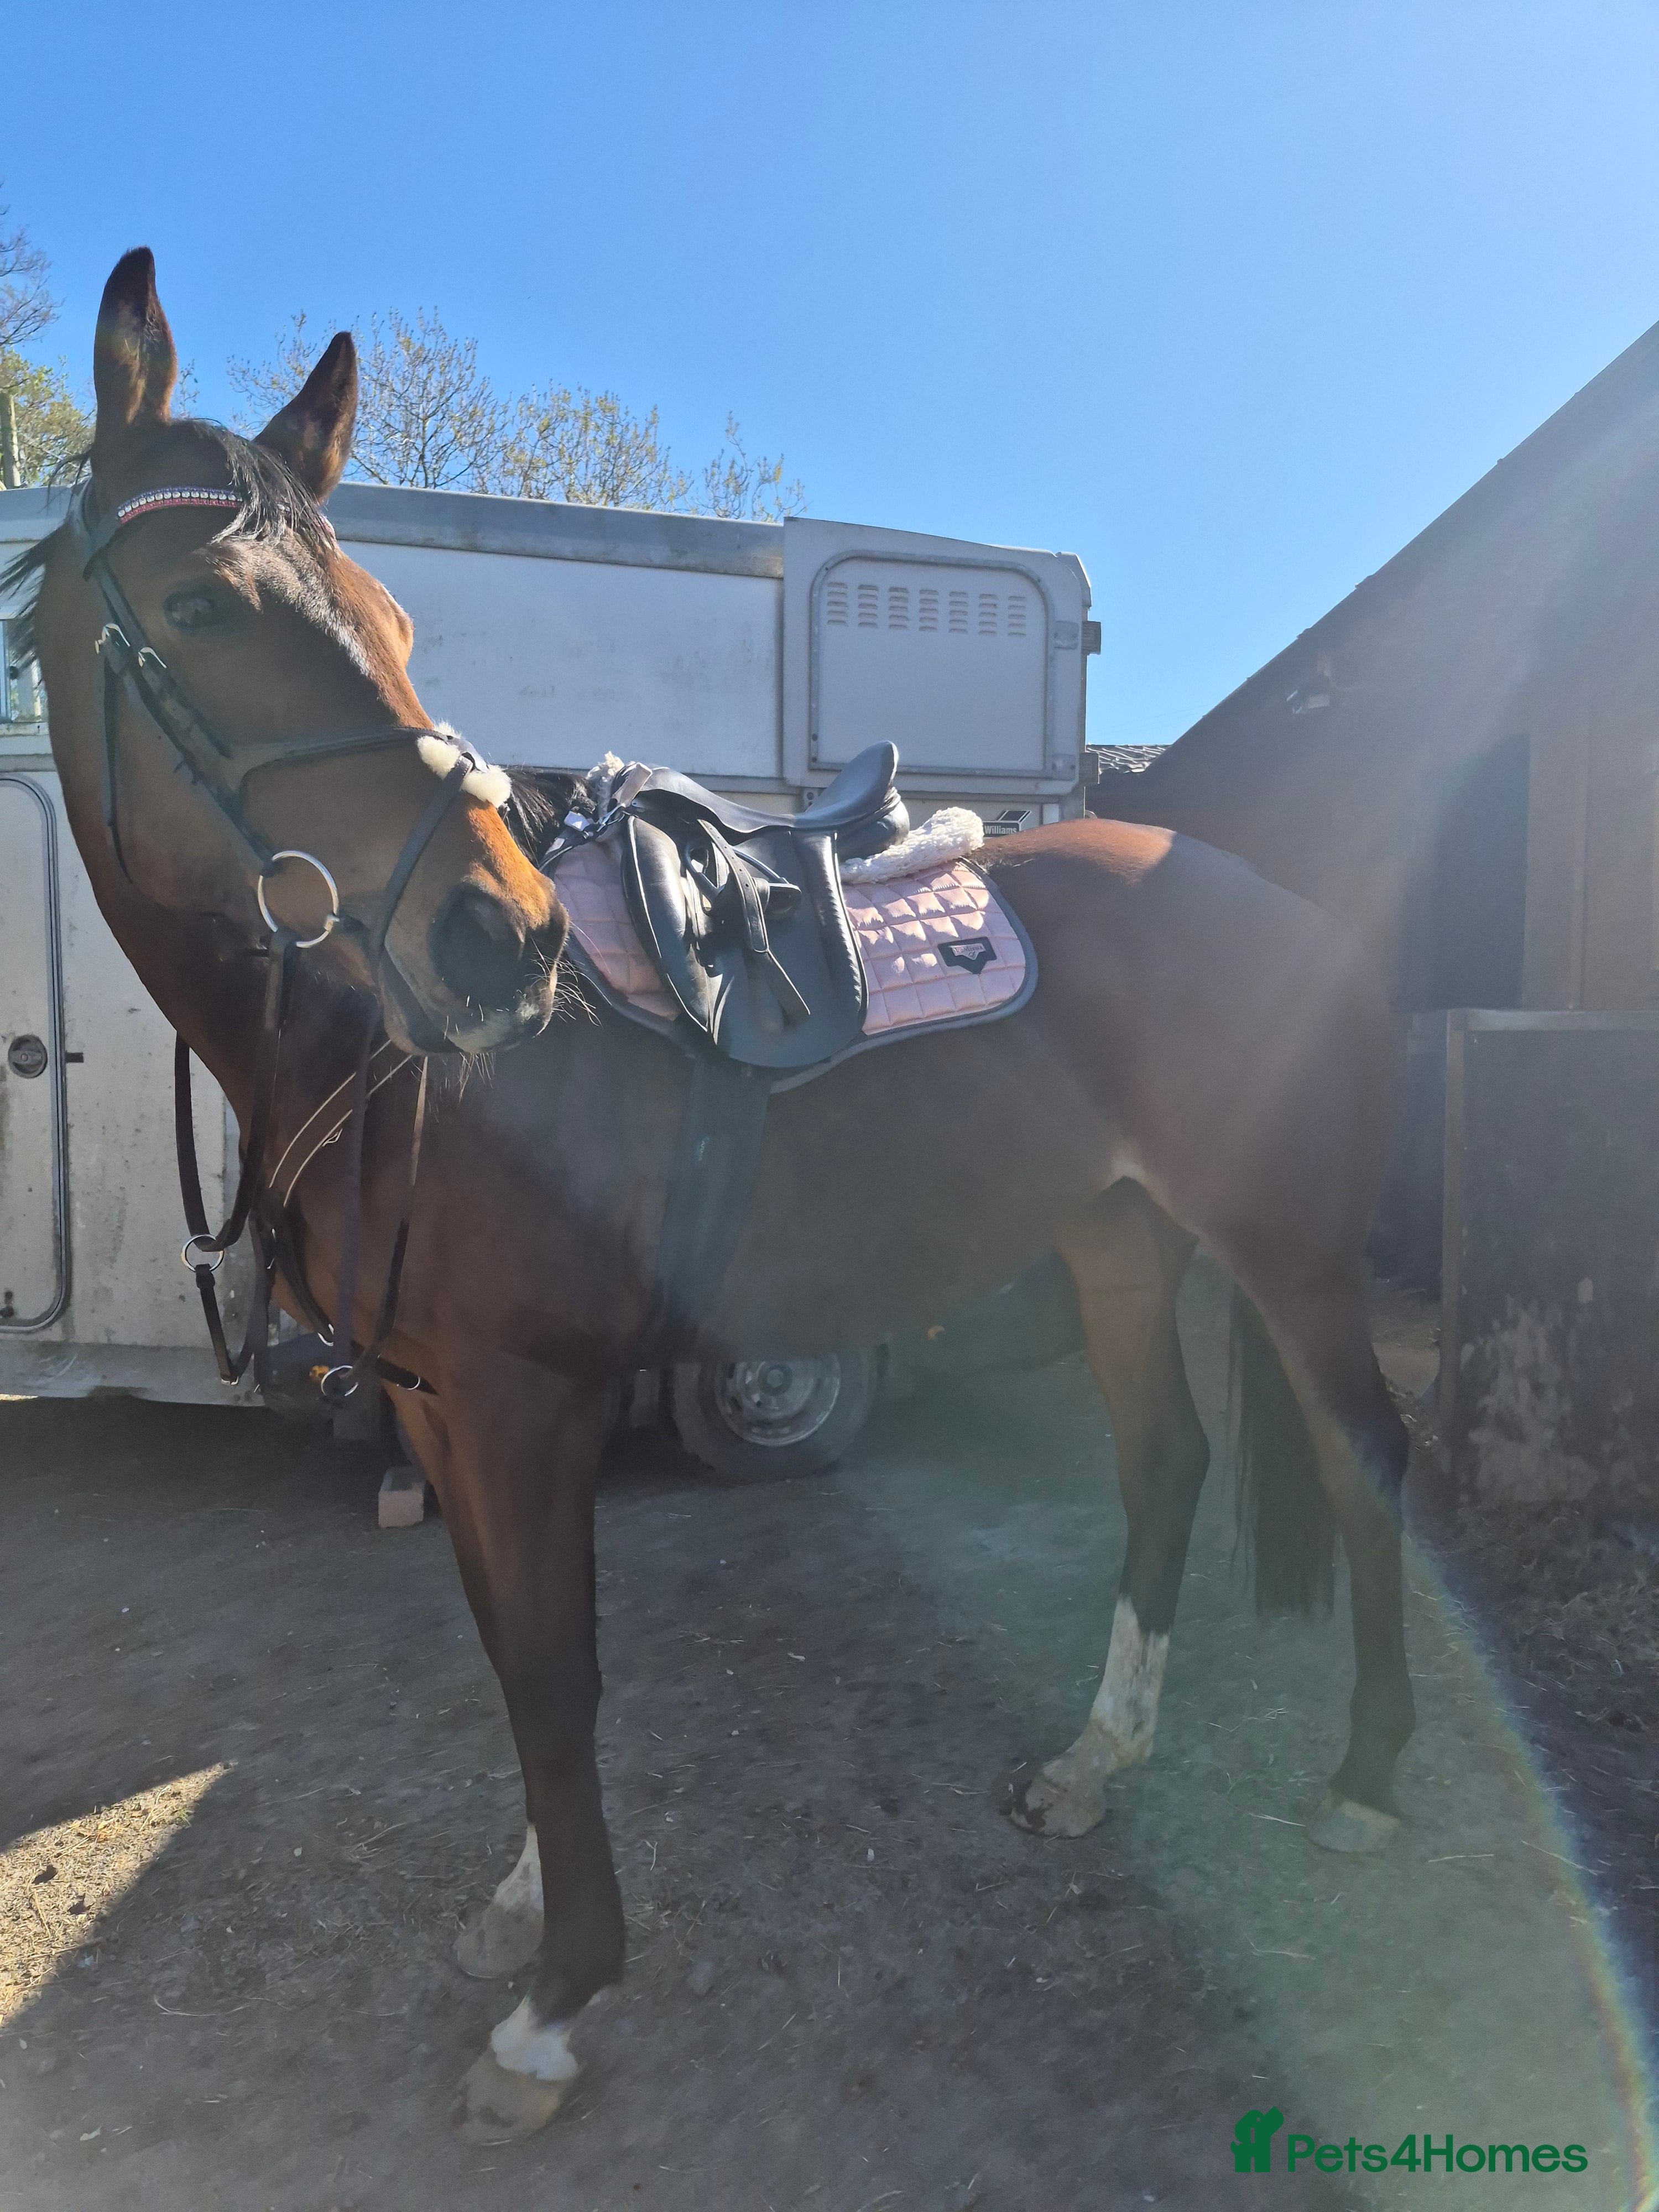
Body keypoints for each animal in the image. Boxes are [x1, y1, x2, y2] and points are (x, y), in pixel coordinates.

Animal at [13, 248, 1413, 2145]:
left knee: (1364, 1467)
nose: (500, 938)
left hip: (1288, 1252)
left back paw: (1367, 1779)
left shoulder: (527, 1403)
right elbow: (513, 1659)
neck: (393, 1061)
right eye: (200, 606)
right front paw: (527, 1907)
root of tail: (1277, 897)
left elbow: (555, 1673)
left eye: (386, 617)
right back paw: (1094, 1760)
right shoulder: (444, 1408)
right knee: (1167, 1464)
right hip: (1119, 1240)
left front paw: (557, 1998)